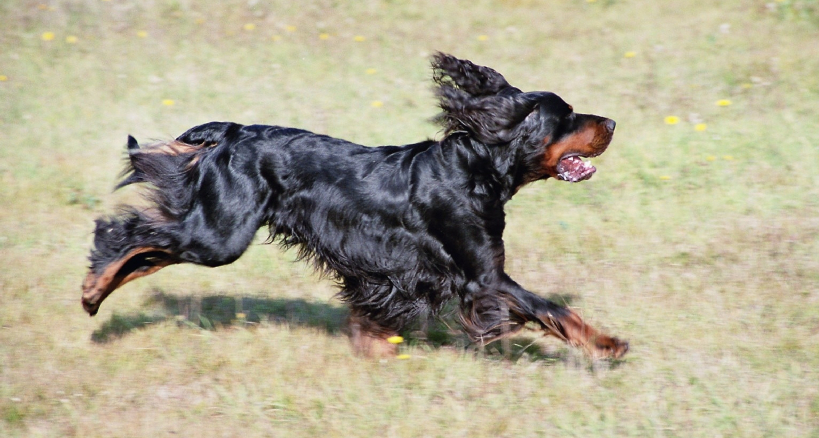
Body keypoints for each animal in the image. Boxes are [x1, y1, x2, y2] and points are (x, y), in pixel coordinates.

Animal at [81, 52, 628, 360]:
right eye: (568, 115)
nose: (612, 123)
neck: (474, 167)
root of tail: (232, 133)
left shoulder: (400, 272)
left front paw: (373, 348)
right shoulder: (484, 277)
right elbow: (552, 308)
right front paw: (608, 344)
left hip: (215, 230)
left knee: (149, 252)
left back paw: (97, 295)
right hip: (220, 234)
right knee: (129, 235)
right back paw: (91, 290)